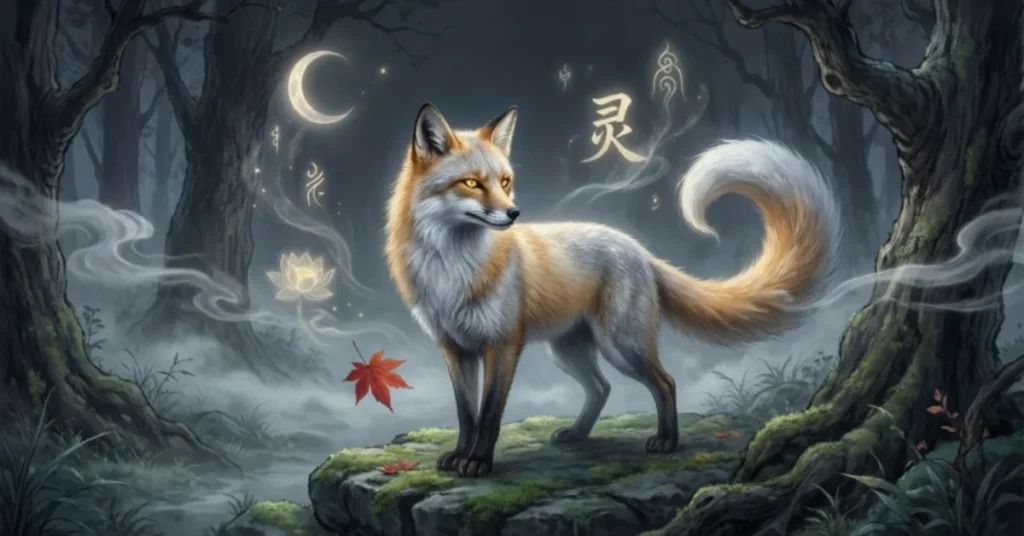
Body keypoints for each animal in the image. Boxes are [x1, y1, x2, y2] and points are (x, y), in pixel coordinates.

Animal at [384, 103, 840, 478]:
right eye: (472, 184)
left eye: (505, 181)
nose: (514, 214)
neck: (453, 270)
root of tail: (638, 249)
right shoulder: (455, 348)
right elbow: (466, 414)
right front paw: (459, 456)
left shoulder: (503, 345)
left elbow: (490, 415)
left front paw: (478, 462)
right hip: (570, 350)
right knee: (601, 388)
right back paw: (578, 434)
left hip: (622, 345)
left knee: (665, 382)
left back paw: (667, 441)